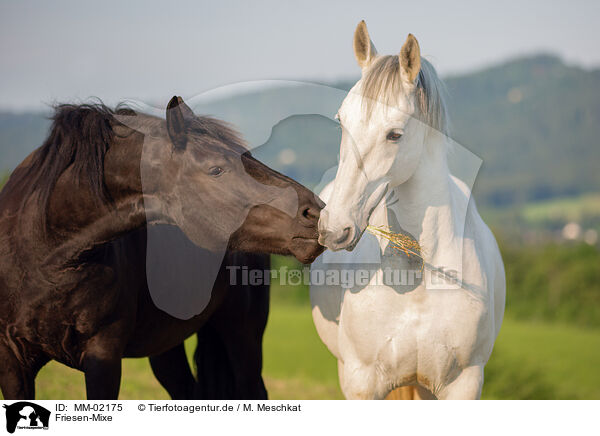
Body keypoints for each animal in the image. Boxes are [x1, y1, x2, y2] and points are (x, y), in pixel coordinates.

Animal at [0, 97, 324, 400]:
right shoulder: (13, 361)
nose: (314, 211)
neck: (45, 252)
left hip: (242, 335)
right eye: (216, 169)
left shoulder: (103, 356)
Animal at [312, 22, 504, 400]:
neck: (417, 283)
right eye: (342, 122)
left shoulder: (464, 384)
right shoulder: (360, 382)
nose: (334, 228)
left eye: (394, 134)